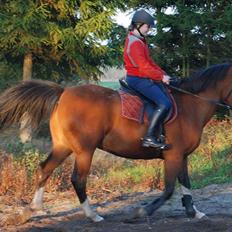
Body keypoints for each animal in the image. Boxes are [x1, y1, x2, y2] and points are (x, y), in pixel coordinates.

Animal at [0, 62, 231, 222]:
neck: (190, 105)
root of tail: (64, 92)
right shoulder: (173, 155)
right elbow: (168, 189)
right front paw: (141, 212)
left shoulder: (181, 156)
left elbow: (186, 184)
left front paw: (194, 212)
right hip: (85, 150)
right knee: (78, 179)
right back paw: (93, 215)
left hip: (63, 146)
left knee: (45, 168)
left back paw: (32, 209)